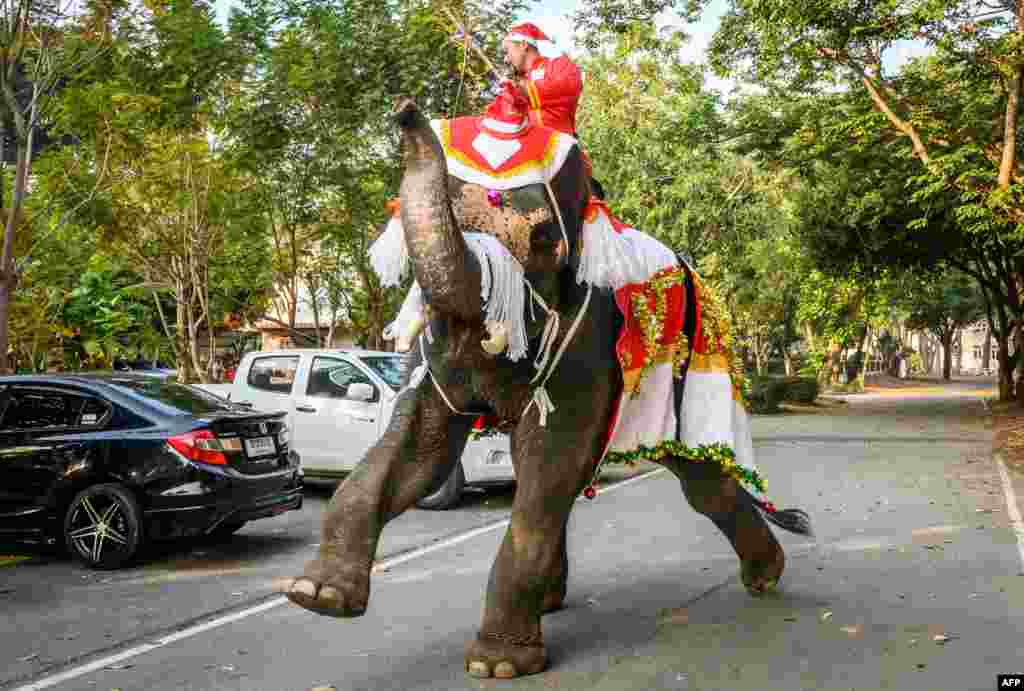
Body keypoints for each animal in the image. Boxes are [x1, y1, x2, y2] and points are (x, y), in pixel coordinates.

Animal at [278, 99, 806, 679]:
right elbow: (423, 451)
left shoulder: (587, 339)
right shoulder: (431, 357)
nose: (406, 110)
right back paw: (552, 602)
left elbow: (550, 455)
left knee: (699, 483)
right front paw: (317, 596)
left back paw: (766, 577)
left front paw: (497, 665)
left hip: (687, 378)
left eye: (544, 241)